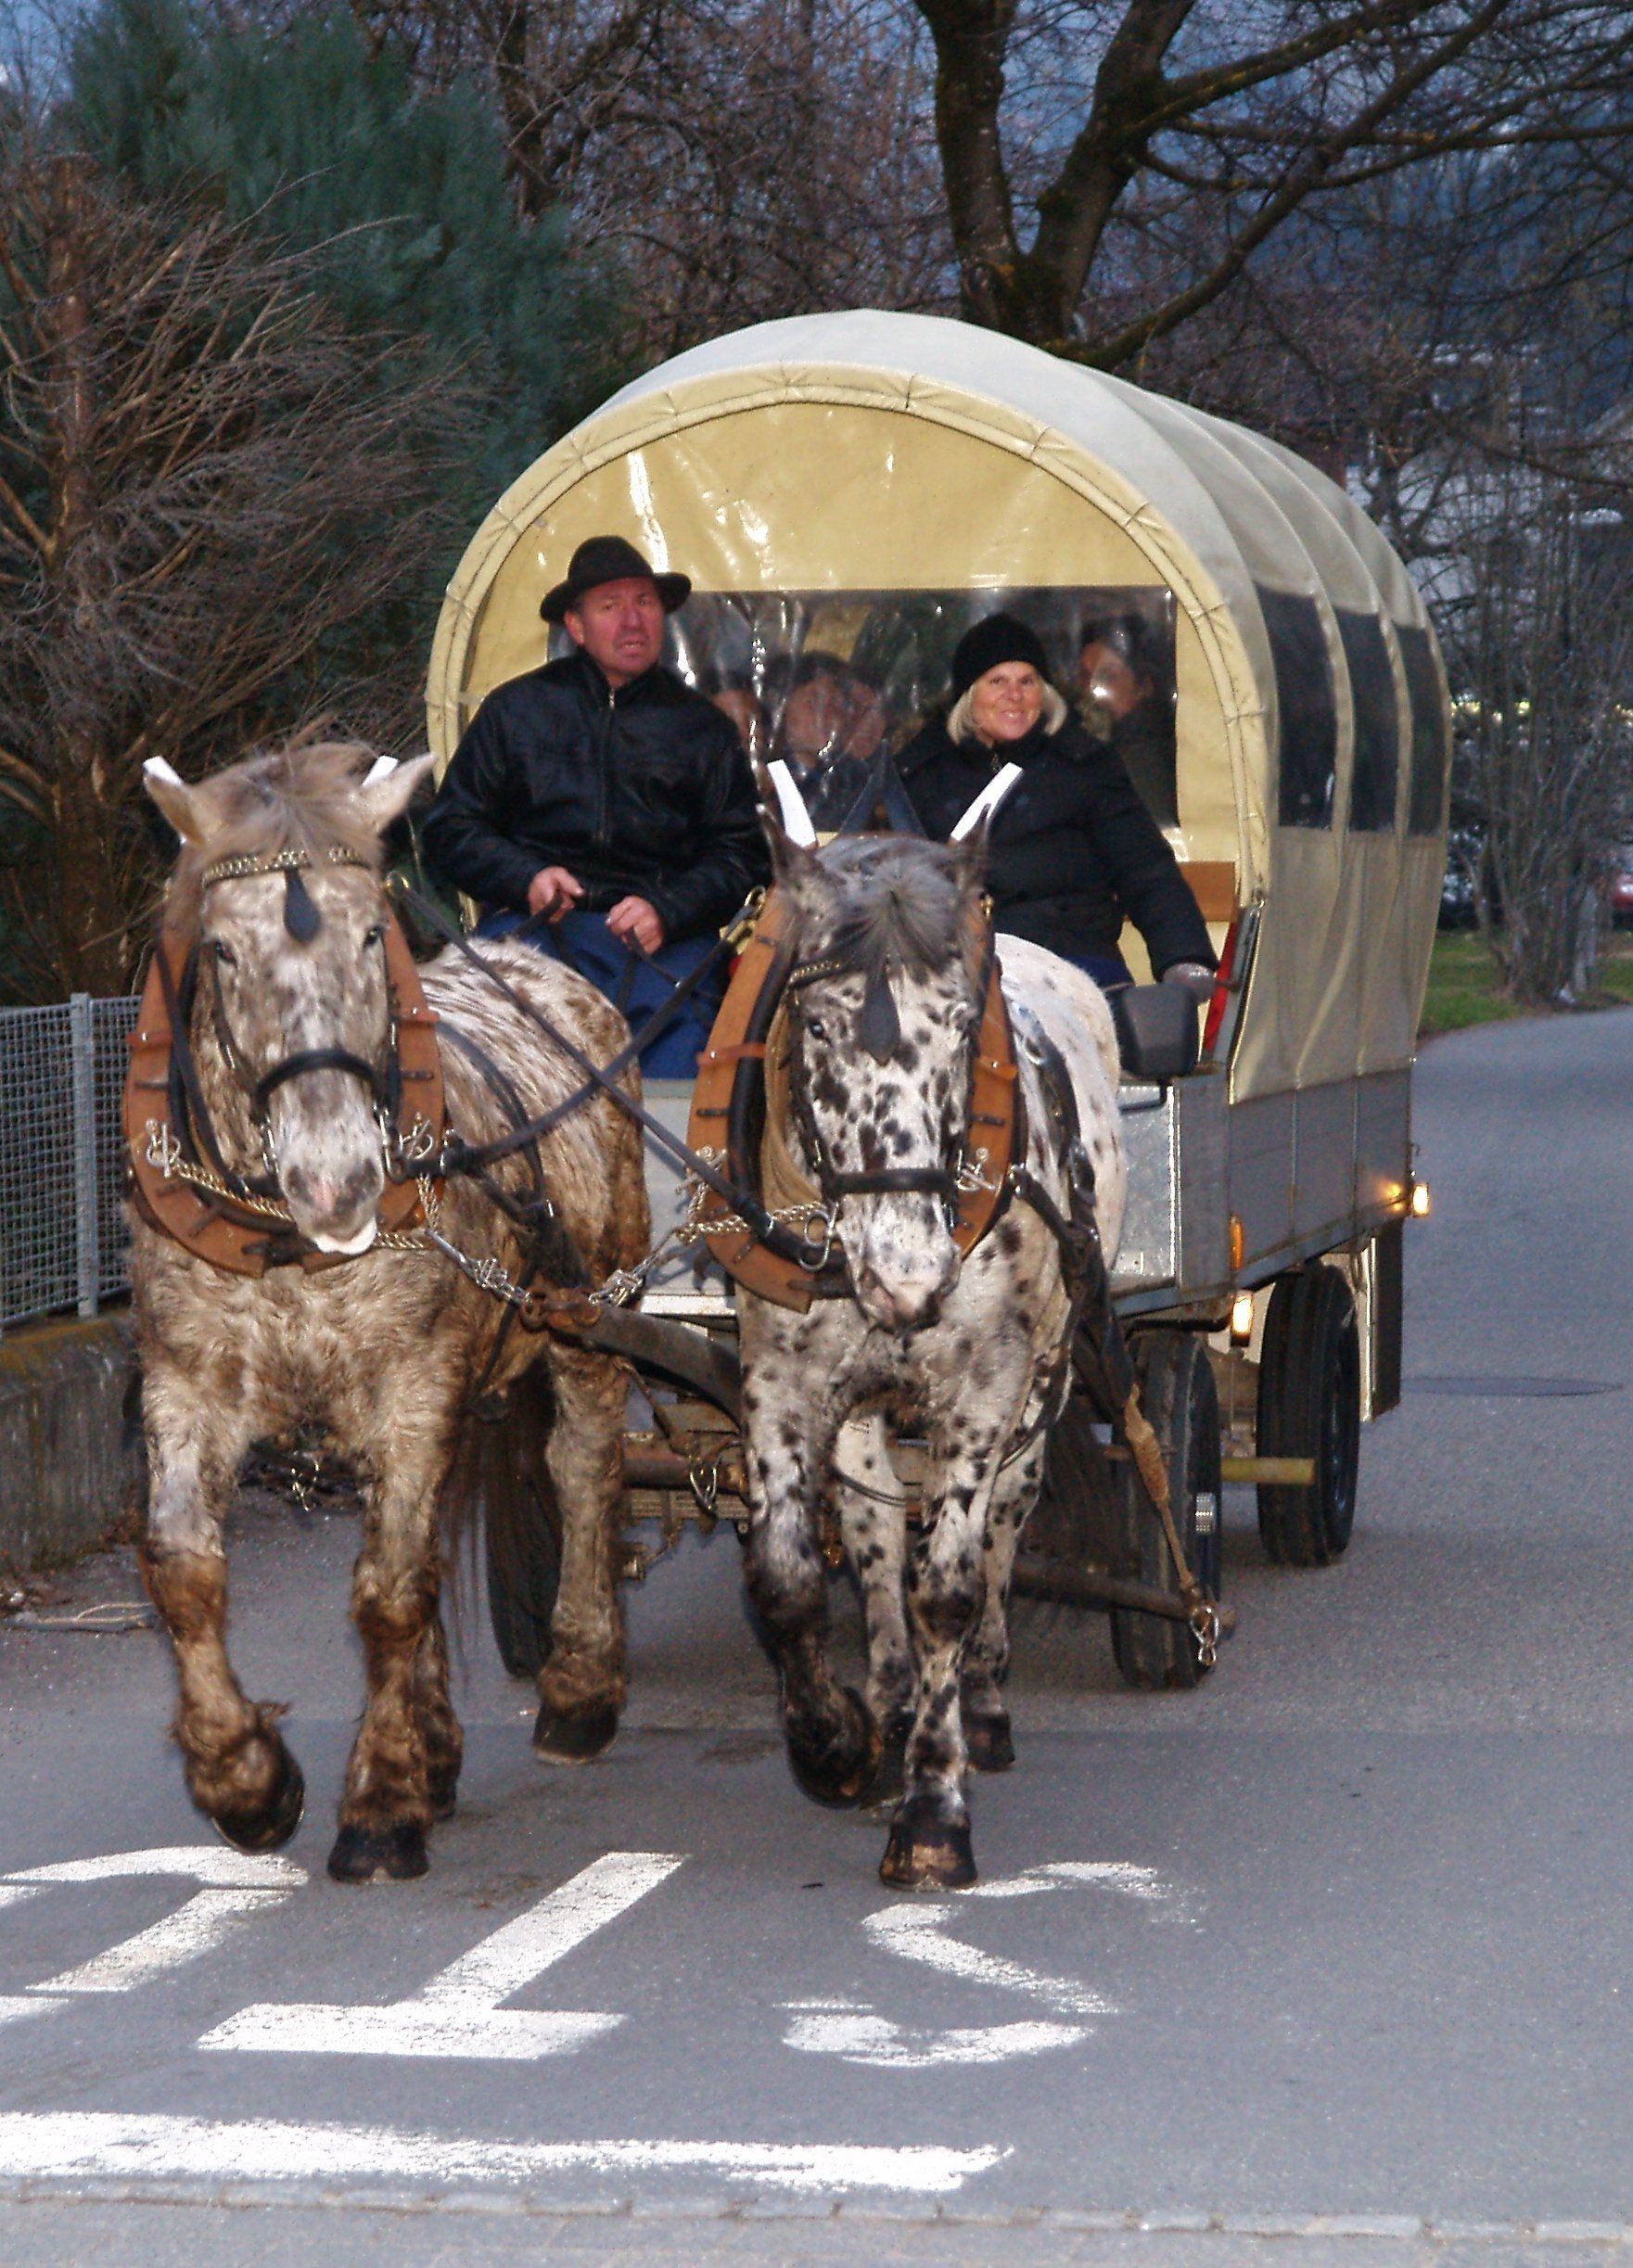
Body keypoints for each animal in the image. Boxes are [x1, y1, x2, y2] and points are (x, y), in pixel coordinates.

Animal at [131, 739, 649, 1882]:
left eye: (373, 932)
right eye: (222, 953)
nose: (337, 1181)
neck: (284, 1241)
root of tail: (541, 961)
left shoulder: (413, 1387)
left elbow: (390, 1590)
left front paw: (381, 1799)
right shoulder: (186, 1383)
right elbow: (185, 1572)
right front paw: (246, 1780)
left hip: (590, 1309)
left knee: (582, 1469)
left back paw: (579, 1687)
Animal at [737, 828, 1127, 1891]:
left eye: (958, 1027)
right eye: (816, 1024)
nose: (908, 1275)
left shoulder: (985, 1385)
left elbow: (948, 1587)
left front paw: (933, 1811)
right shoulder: (781, 1380)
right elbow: (790, 1580)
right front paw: (835, 1741)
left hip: (1044, 1384)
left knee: (1001, 1529)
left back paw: (980, 1706)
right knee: (874, 1535)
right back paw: (893, 1699)